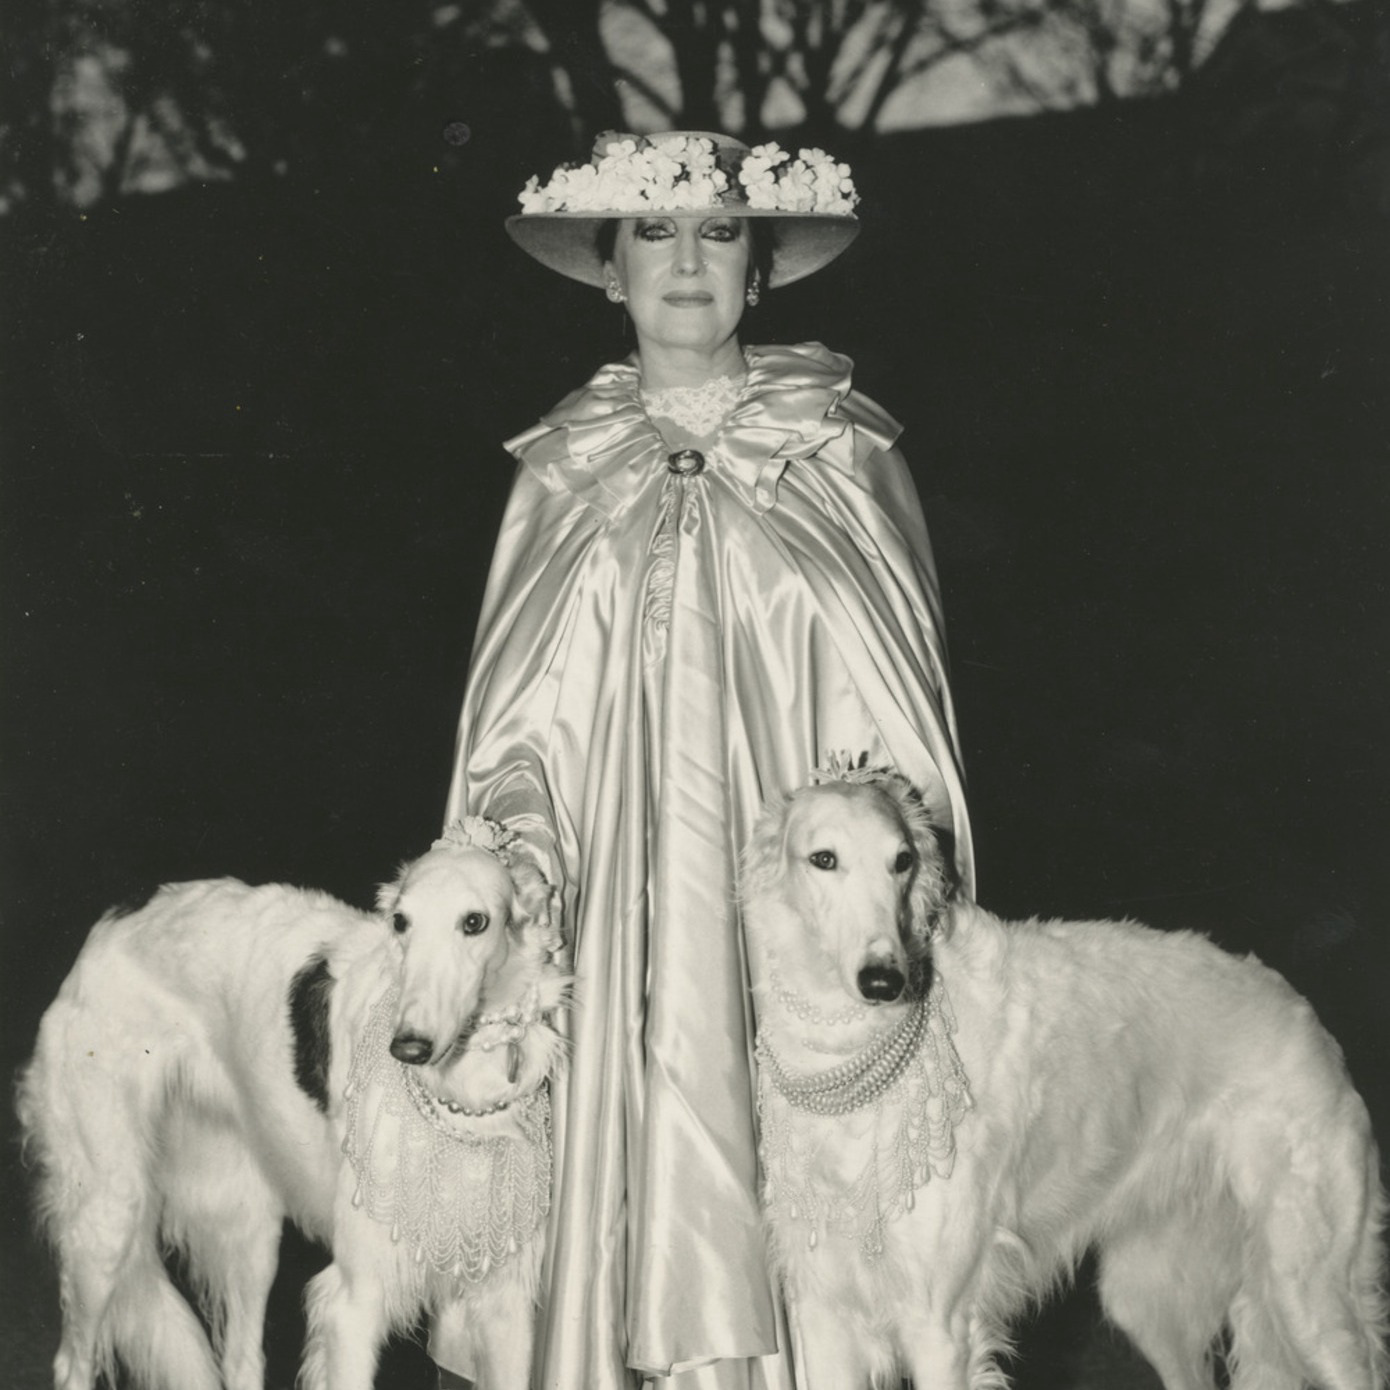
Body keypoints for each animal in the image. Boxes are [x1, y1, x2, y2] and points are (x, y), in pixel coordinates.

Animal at [16, 811, 569, 1390]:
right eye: (400, 922)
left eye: (475, 922)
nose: (408, 1047)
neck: (463, 1100)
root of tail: (111, 924)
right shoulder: (354, 1301)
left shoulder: (505, 1304)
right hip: (110, 1209)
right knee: (73, 1360)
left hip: (246, 1225)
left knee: (241, 1359)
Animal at [745, 772, 1384, 1390]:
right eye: (823, 859)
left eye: (901, 861)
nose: (884, 981)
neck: (850, 1069)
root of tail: (1303, 1014)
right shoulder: (824, 1313)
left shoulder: (939, 1325)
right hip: (1148, 1297)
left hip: (1307, 1293)